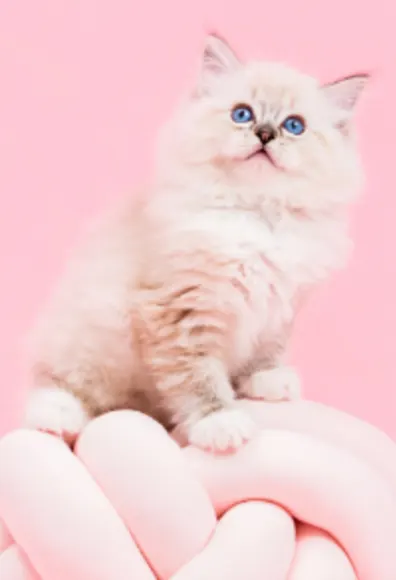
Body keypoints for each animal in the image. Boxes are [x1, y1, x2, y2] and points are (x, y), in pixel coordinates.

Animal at [25, 34, 368, 454]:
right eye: (242, 114)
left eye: (294, 126)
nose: (265, 134)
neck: (256, 215)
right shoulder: (179, 312)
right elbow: (198, 380)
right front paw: (220, 424)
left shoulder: (278, 309)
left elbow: (265, 351)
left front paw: (266, 380)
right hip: (86, 336)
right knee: (62, 384)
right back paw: (54, 414)